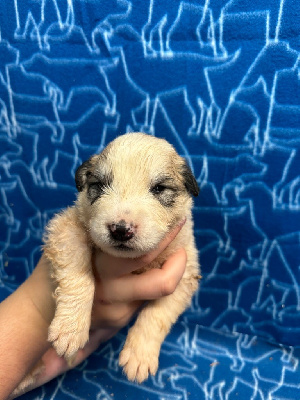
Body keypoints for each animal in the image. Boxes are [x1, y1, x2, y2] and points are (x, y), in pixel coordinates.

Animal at [22, 133, 200, 390]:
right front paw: (71, 328)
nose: (121, 230)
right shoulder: (68, 229)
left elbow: (157, 315)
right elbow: (79, 276)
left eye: (159, 189)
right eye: (99, 185)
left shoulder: (184, 274)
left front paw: (139, 356)